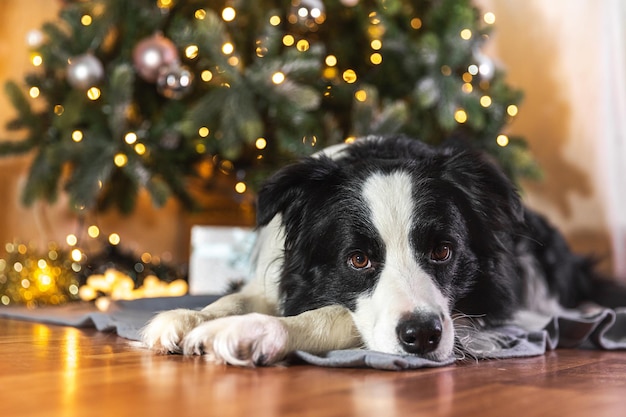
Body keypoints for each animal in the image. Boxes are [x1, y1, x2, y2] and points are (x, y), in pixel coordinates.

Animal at [143, 135, 624, 366]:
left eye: (443, 251)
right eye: (359, 260)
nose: (423, 337)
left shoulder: (484, 312)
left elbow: (334, 315)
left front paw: (247, 331)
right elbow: (237, 297)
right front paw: (185, 318)